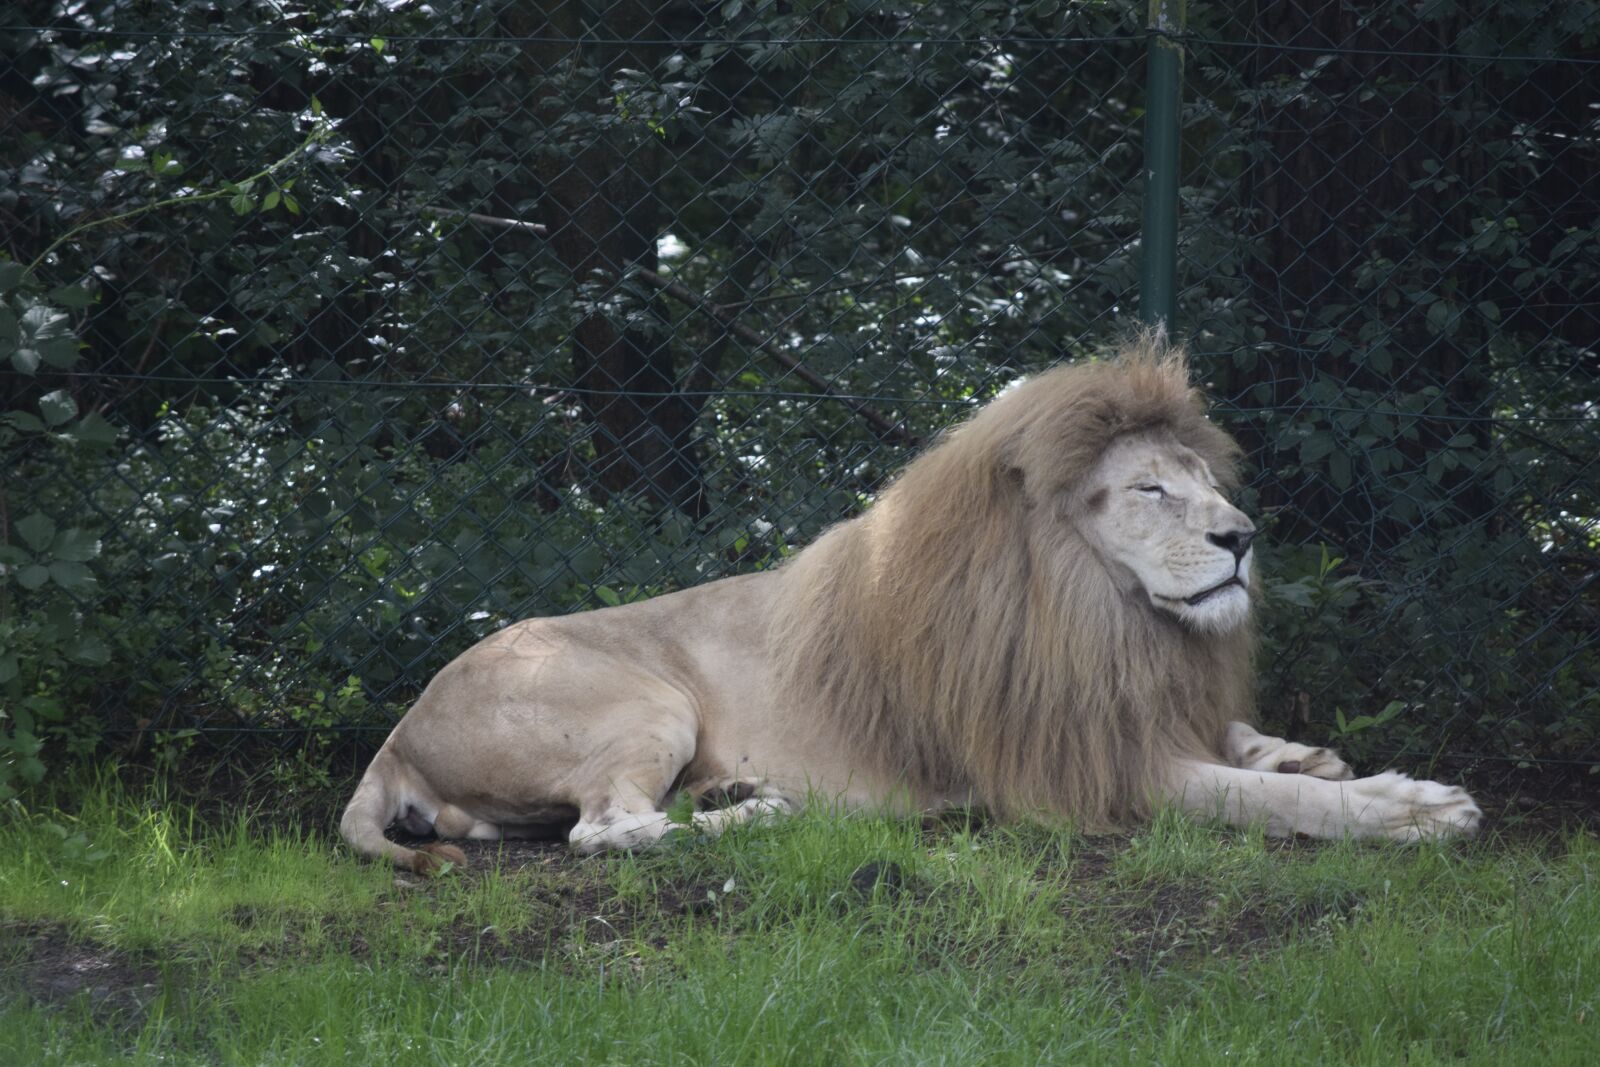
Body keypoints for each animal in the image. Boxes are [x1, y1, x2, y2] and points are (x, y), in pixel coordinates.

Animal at [340, 337, 1481, 871]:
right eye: (1151, 489)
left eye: (1207, 480)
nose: (1241, 536)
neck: (1102, 614)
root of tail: (398, 727)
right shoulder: (1076, 766)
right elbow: (1261, 800)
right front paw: (1414, 810)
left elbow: (1249, 747)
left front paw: (1318, 755)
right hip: (644, 699)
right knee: (606, 832)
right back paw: (759, 814)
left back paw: (729, 794)